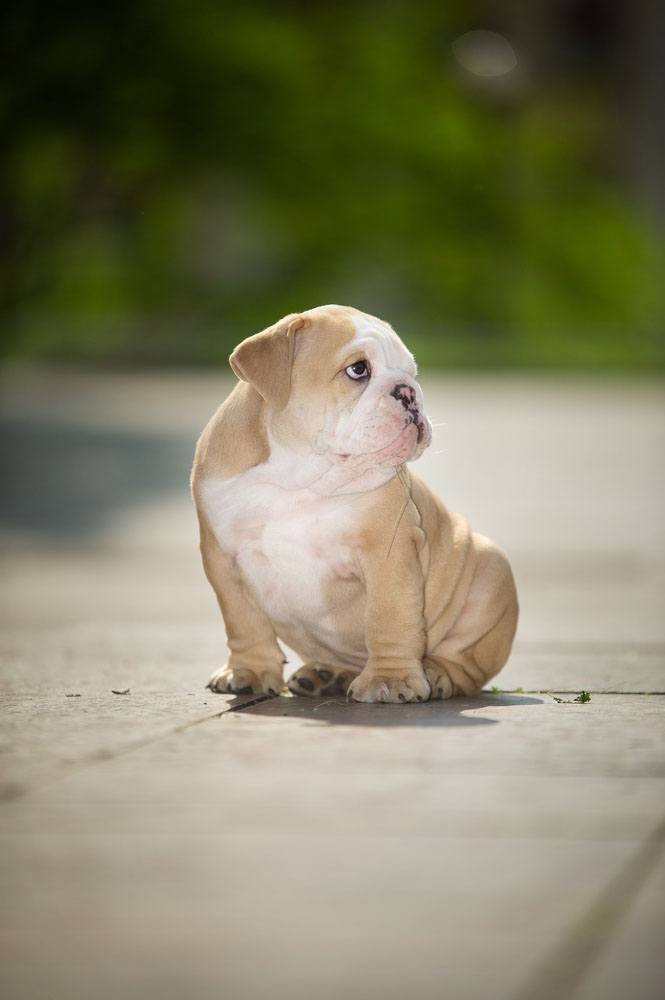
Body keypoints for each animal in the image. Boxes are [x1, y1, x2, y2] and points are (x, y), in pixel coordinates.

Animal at [189, 304, 516, 704]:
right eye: (358, 370)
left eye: (411, 372)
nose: (408, 392)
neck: (298, 473)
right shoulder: (223, 559)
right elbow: (243, 621)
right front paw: (248, 671)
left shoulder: (387, 554)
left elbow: (389, 616)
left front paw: (391, 680)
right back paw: (326, 675)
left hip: (491, 571)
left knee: (465, 664)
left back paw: (437, 674)